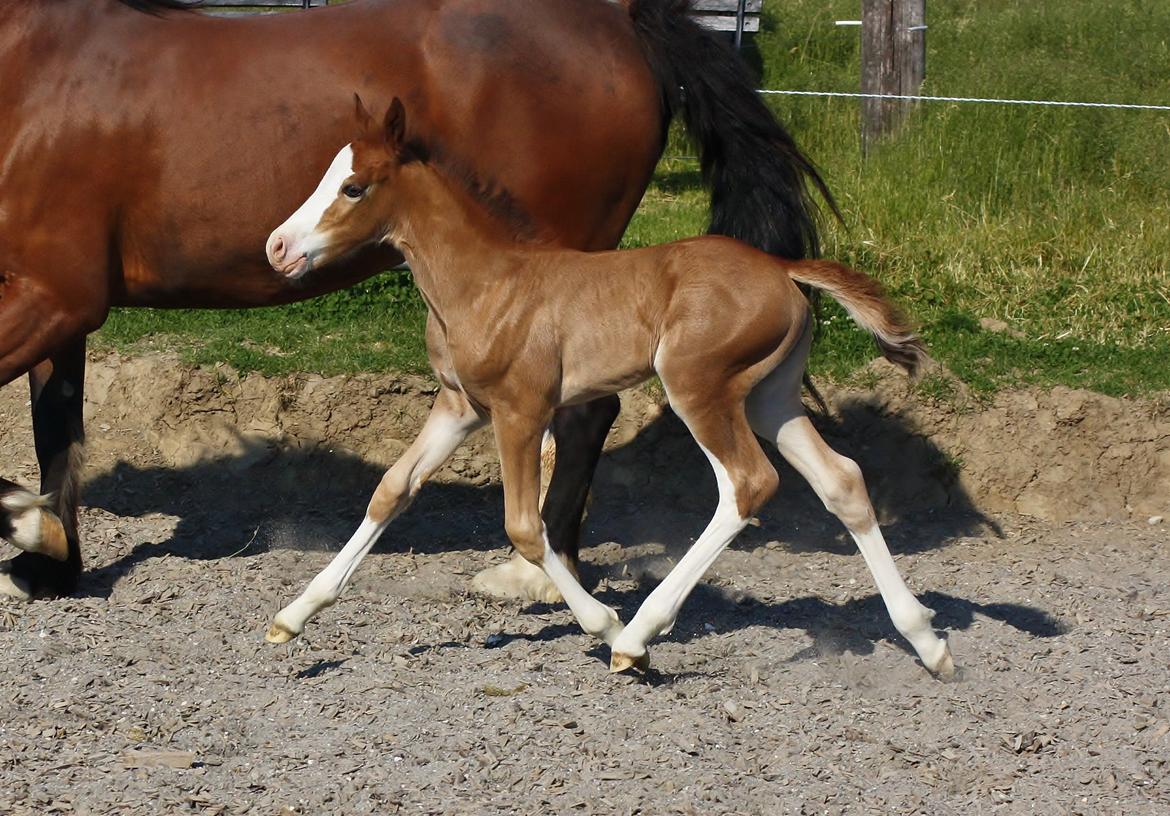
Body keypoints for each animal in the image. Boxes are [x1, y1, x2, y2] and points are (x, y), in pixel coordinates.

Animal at [263, 100, 950, 674]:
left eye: (353, 187)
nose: (277, 247)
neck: (486, 283)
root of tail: (783, 268)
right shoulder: (460, 407)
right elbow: (391, 490)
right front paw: (292, 618)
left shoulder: (520, 410)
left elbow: (524, 528)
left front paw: (604, 623)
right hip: (770, 398)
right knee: (842, 481)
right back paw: (927, 640)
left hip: (699, 388)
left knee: (747, 485)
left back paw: (637, 637)